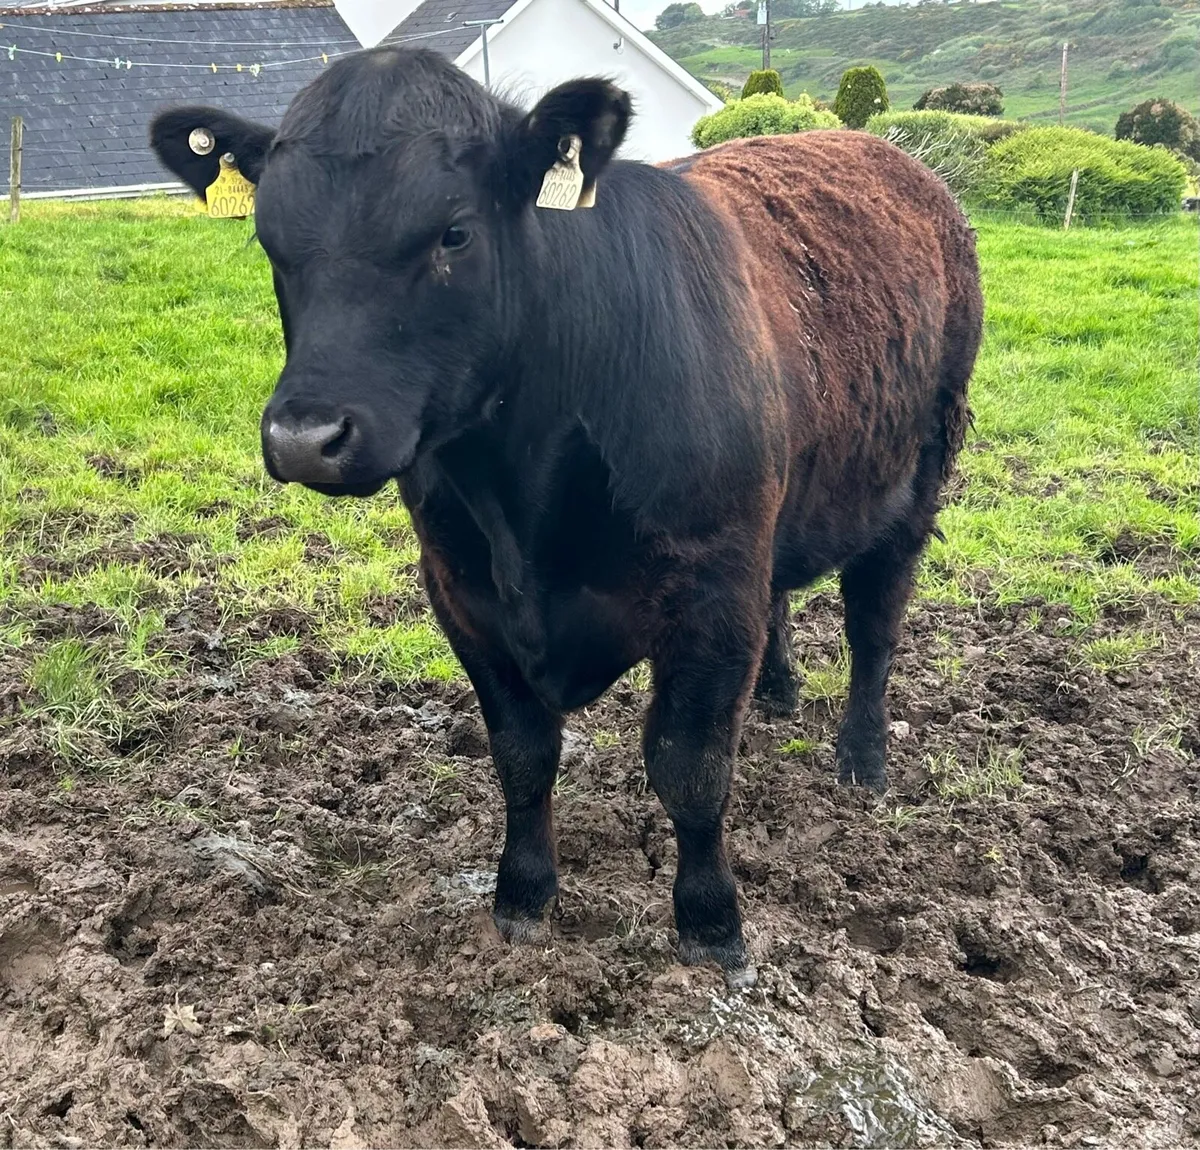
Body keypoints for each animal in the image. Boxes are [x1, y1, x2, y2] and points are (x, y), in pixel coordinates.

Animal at [150, 46, 982, 988]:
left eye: (454, 233)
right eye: (270, 241)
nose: (303, 438)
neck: (523, 501)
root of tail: (897, 158)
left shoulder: (713, 591)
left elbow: (691, 765)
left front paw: (711, 921)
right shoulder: (462, 594)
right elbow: (522, 754)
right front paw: (522, 895)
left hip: (920, 474)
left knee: (875, 626)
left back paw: (862, 760)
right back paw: (775, 694)